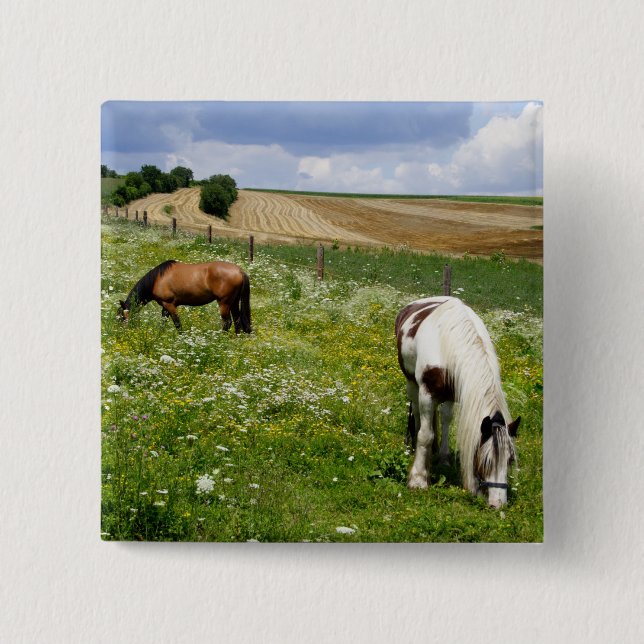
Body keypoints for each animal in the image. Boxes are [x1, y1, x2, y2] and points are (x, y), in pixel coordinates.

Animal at [117, 260, 251, 333]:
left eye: (121, 318)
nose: (120, 333)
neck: (157, 279)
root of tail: (239, 271)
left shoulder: (170, 305)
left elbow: (177, 324)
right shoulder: (165, 307)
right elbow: (163, 322)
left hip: (224, 303)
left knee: (227, 322)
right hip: (234, 302)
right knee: (237, 322)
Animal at [395, 296, 520, 508]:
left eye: (510, 460)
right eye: (486, 461)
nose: (498, 503)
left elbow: (445, 422)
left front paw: (443, 460)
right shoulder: (427, 393)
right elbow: (425, 435)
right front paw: (418, 479)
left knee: (444, 418)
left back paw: (442, 456)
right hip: (412, 384)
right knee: (418, 414)